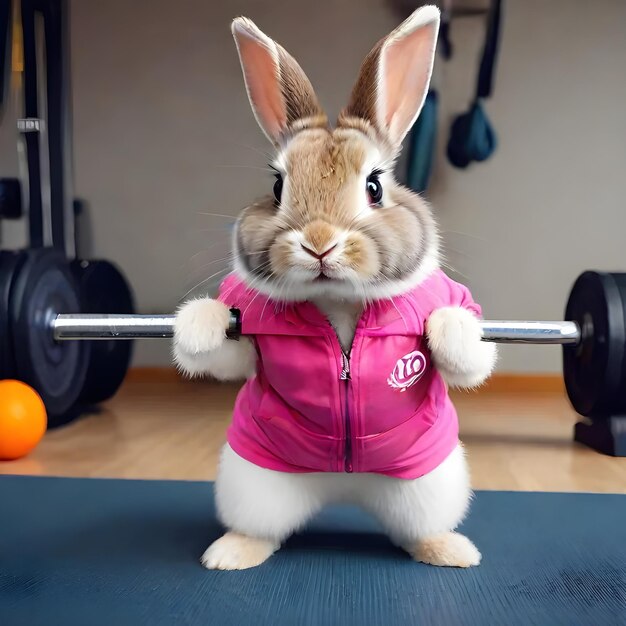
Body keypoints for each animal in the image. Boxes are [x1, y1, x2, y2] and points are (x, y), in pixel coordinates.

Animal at [173, 6, 494, 572]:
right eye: (277, 186)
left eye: (375, 186)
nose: (319, 243)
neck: (338, 303)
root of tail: (343, 486)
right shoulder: (250, 342)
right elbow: (225, 355)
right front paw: (198, 323)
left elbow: (469, 360)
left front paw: (449, 327)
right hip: (255, 485)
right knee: (259, 527)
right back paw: (230, 554)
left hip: (428, 490)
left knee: (421, 530)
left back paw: (452, 552)